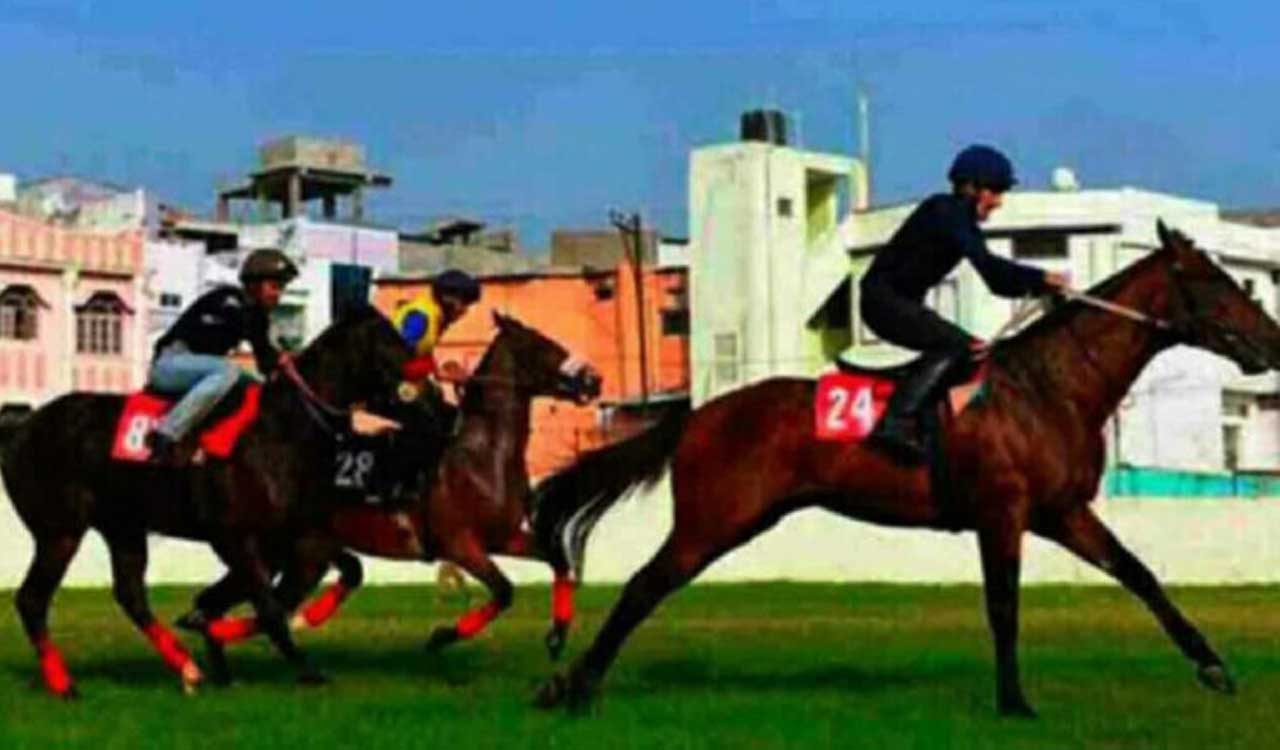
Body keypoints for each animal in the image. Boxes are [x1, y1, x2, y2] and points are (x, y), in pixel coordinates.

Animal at [0, 306, 410, 697]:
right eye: (387, 338)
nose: (417, 377)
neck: (279, 429)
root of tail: (22, 426)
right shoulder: (234, 536)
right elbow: (268, 605)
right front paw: (308, 671)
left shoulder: (291, 534)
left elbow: (342, 572)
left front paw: (216, 643)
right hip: (60, 530)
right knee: (32, 599)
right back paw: (64, 685)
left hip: (123, 526)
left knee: (131, 595)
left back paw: (188, 669)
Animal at [174, 312, 604, 680]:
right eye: (544, 346)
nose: (593, 380)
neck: (481, 455)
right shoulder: (461, 544)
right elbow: (503, 591)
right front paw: (442, 636)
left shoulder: (504, 536)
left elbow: (557, 559)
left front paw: (557, 636)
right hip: (286, 552)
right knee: (258, 608)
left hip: (291, 554)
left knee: (236, 604)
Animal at [530, 222, 1280, 717]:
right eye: (1216, 282)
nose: (1272, 341)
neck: (1050, 386)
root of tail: (699, 414)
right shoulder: (1002, 513)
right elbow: (1003, 606)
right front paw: (1014, 702)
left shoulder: (1062, 512)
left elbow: (1139, 573)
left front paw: (1213, 666)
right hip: (715, 520)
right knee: (642, 587)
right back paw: (574, 687)